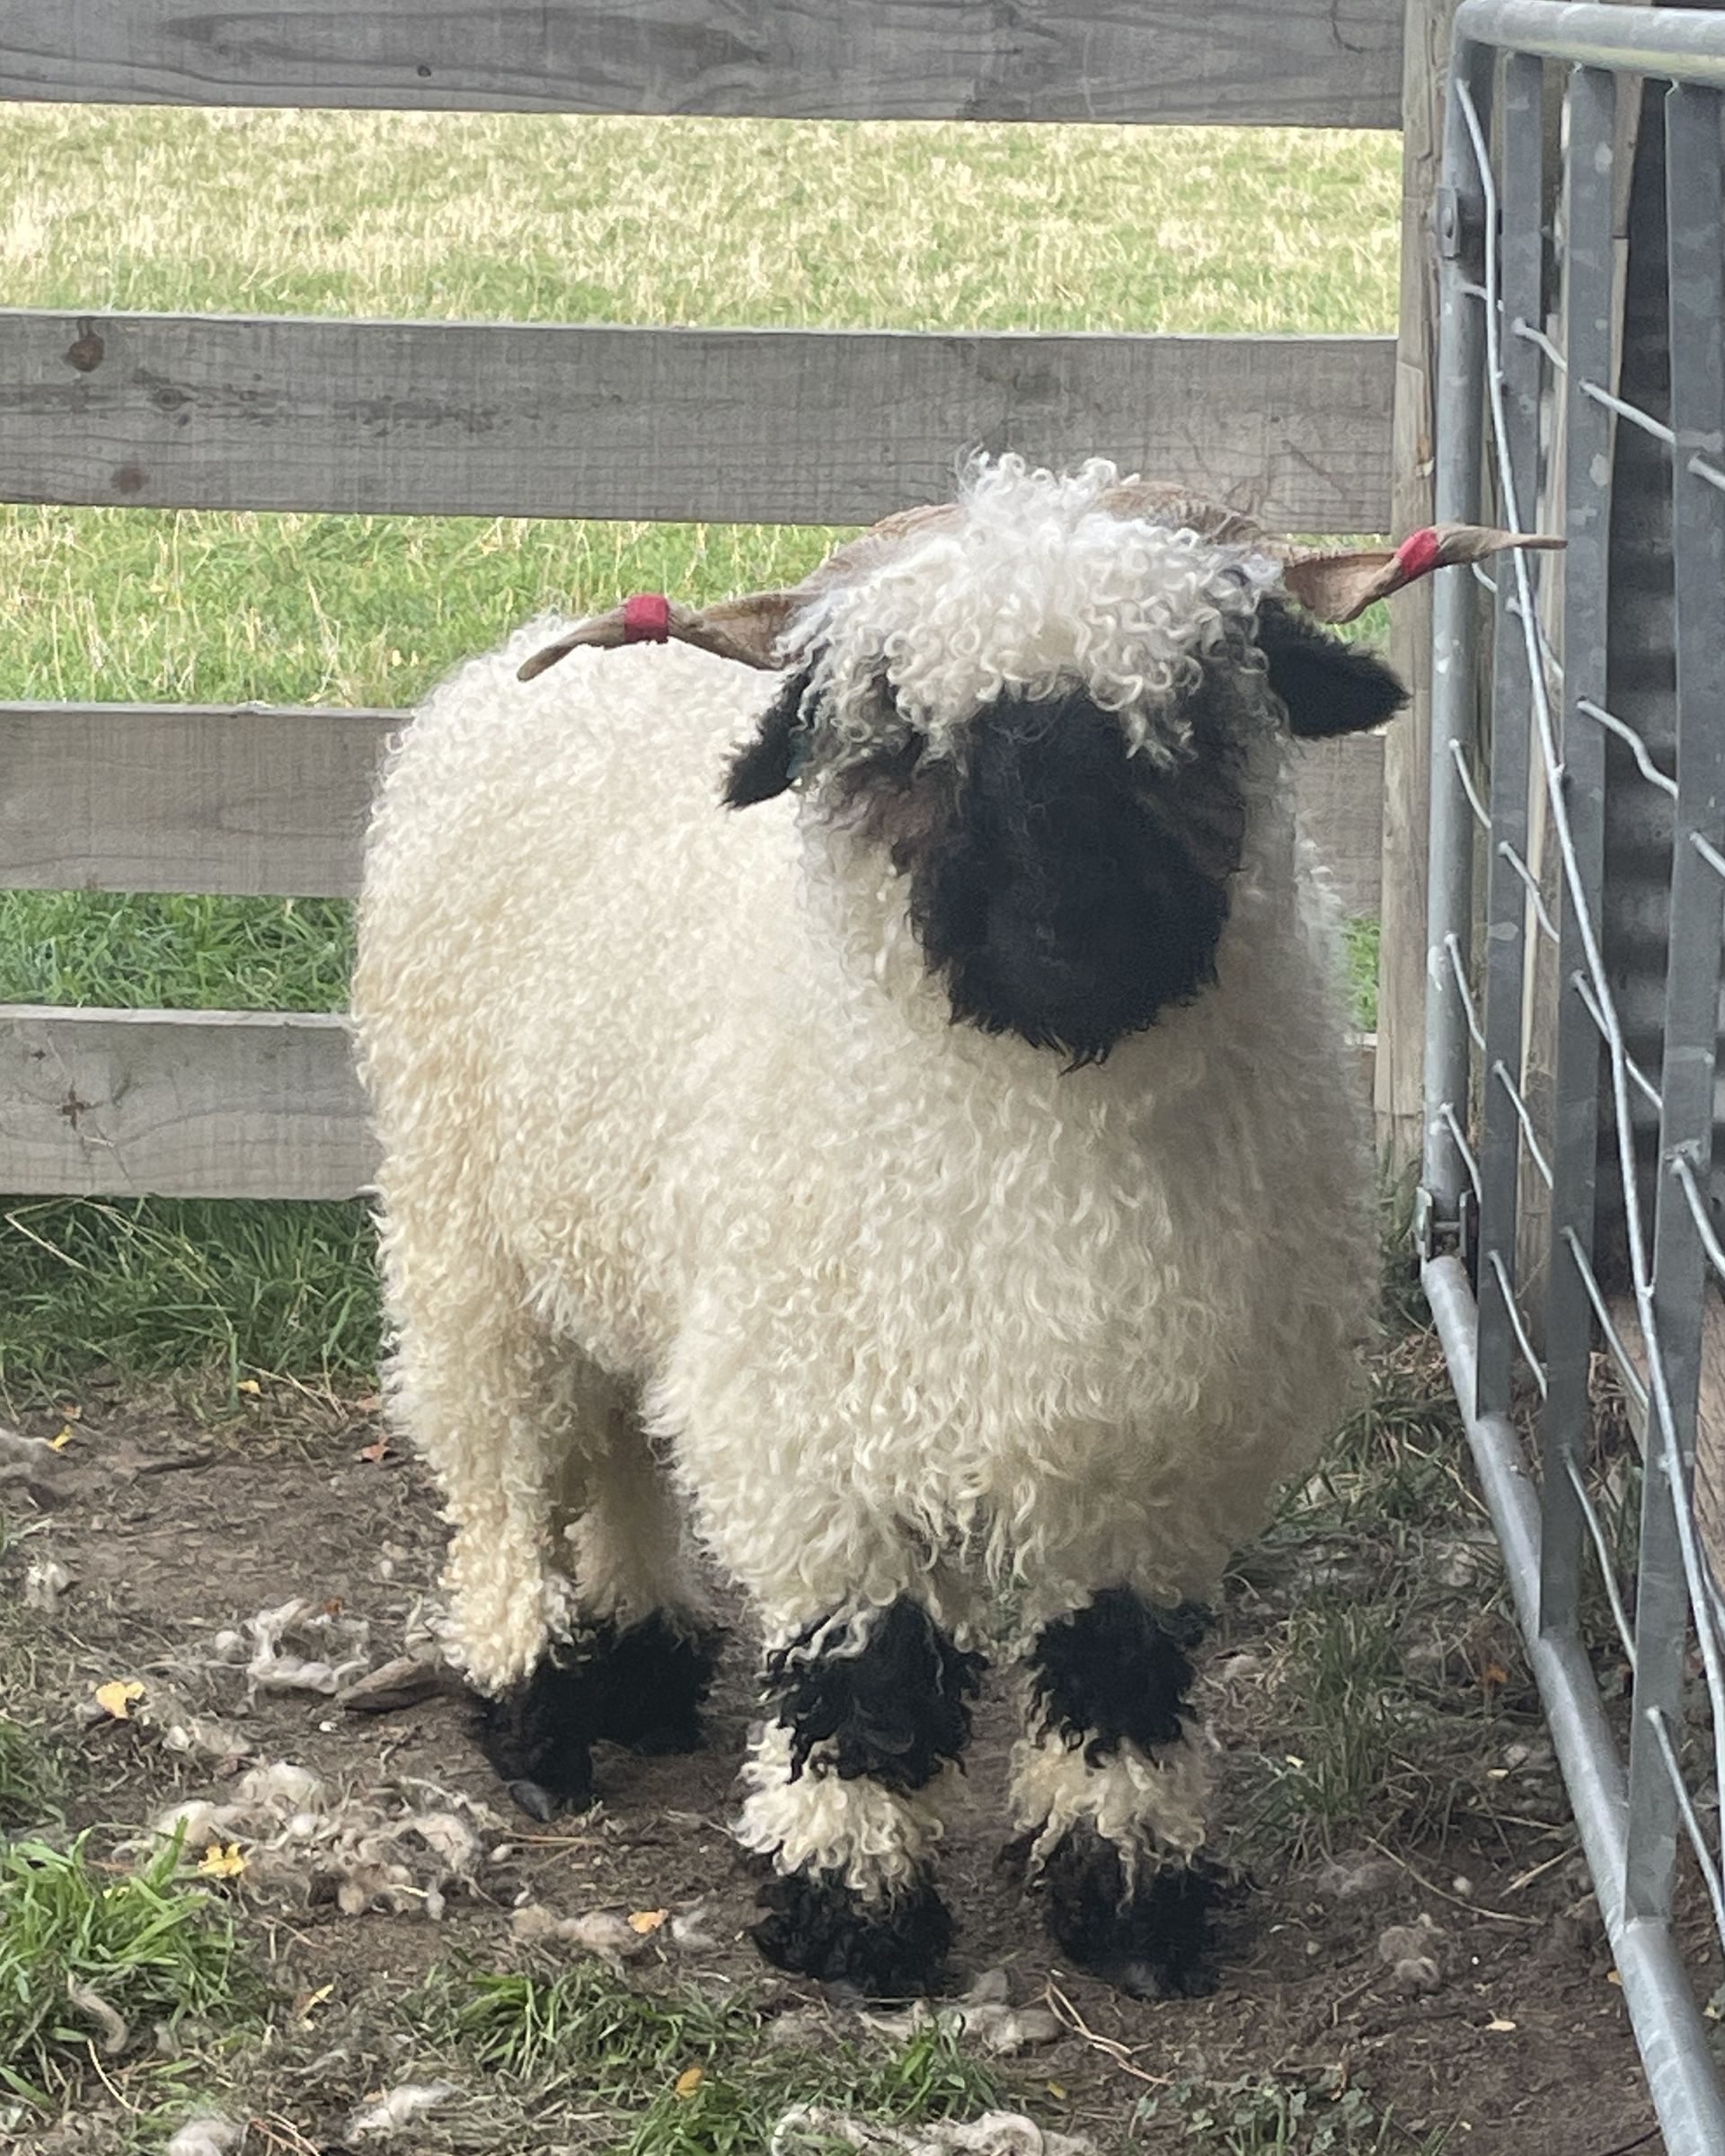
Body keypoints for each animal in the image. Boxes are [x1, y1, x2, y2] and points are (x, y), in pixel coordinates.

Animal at [353, 459, 1552, 2001]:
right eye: (902, 734)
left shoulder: (1157, 1444)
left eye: (1189, 706)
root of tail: (499, 670)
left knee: (624, 1448)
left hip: (611, 1243)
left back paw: (645, 1665)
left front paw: (1129, 1906)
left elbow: (1117, 1674)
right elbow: (862, 1682)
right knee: (503, 1477)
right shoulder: (819, 1436)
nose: (1070, 931)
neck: (1051, 1131)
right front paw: (852, 1913)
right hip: (468, 1239)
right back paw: (535, 1713)